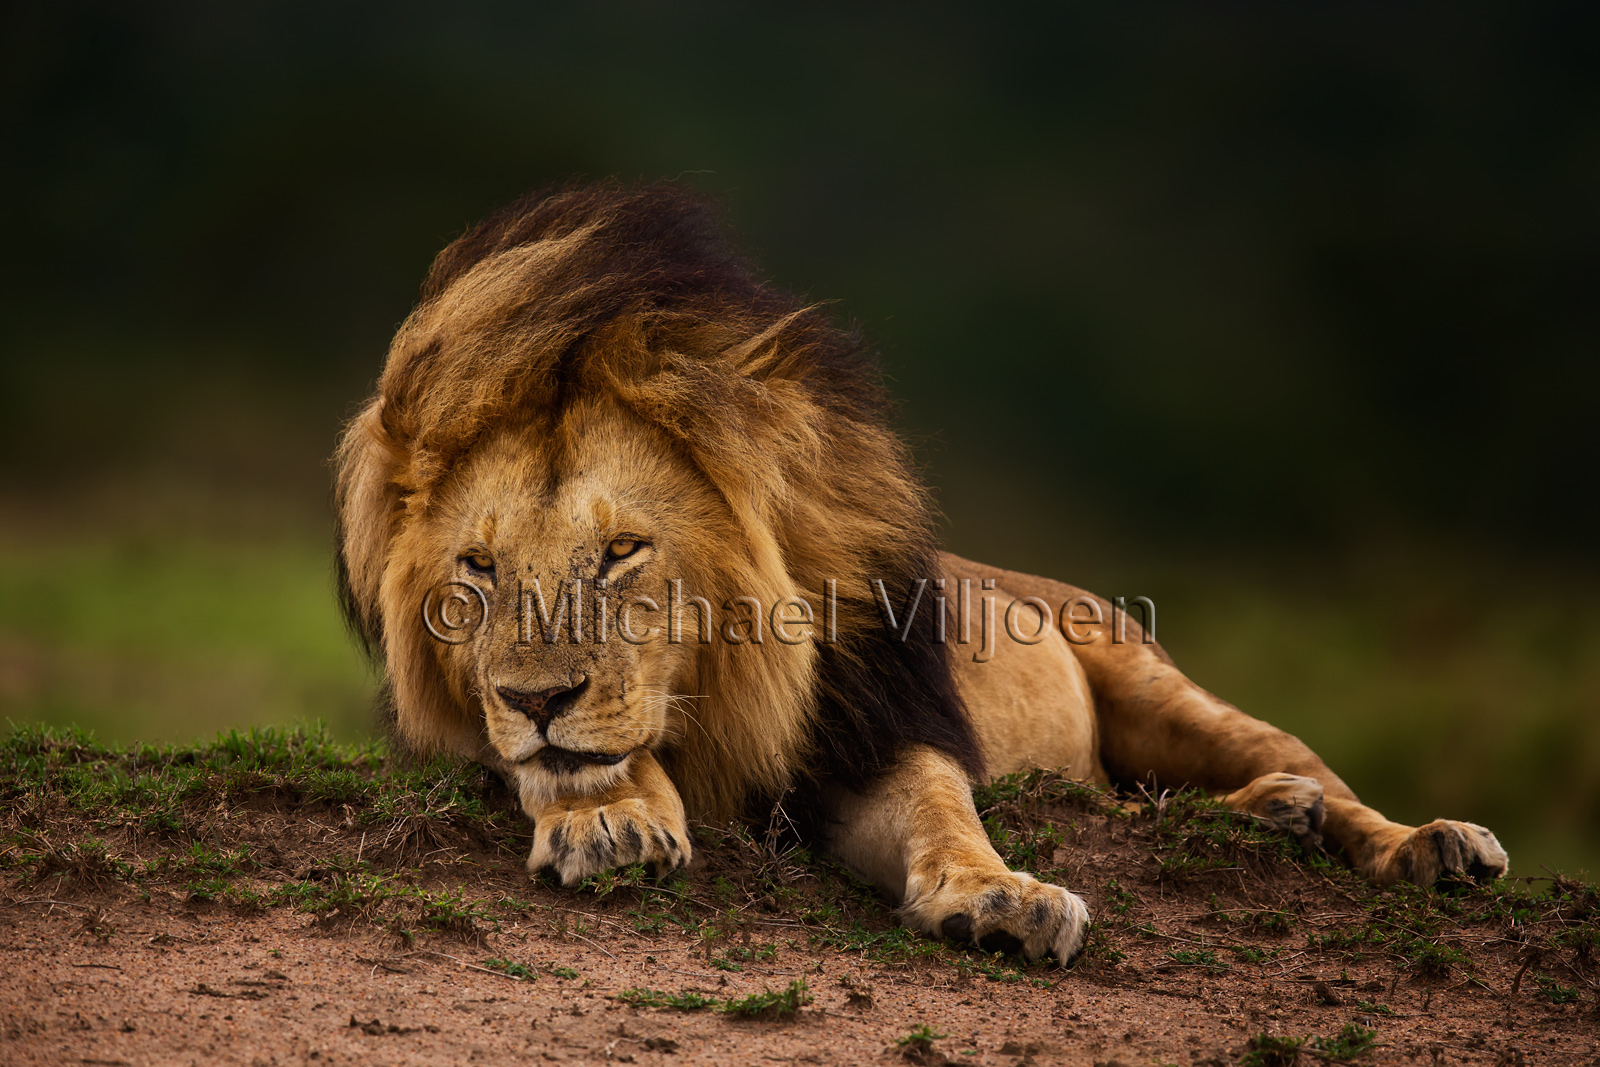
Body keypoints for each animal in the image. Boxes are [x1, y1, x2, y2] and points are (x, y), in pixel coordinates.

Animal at [334, 182, 1508, 964]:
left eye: (623, 551)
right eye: (480, 566)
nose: (535, 697)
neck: (729, 691)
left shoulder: (878, 723)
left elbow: (946, 807)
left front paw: (1000, 896)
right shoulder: (477, 729)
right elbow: (559, 768)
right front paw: (607, 811)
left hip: (1157, 681)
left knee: (1310, 773)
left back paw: (1422, 839)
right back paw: (1268, 814)